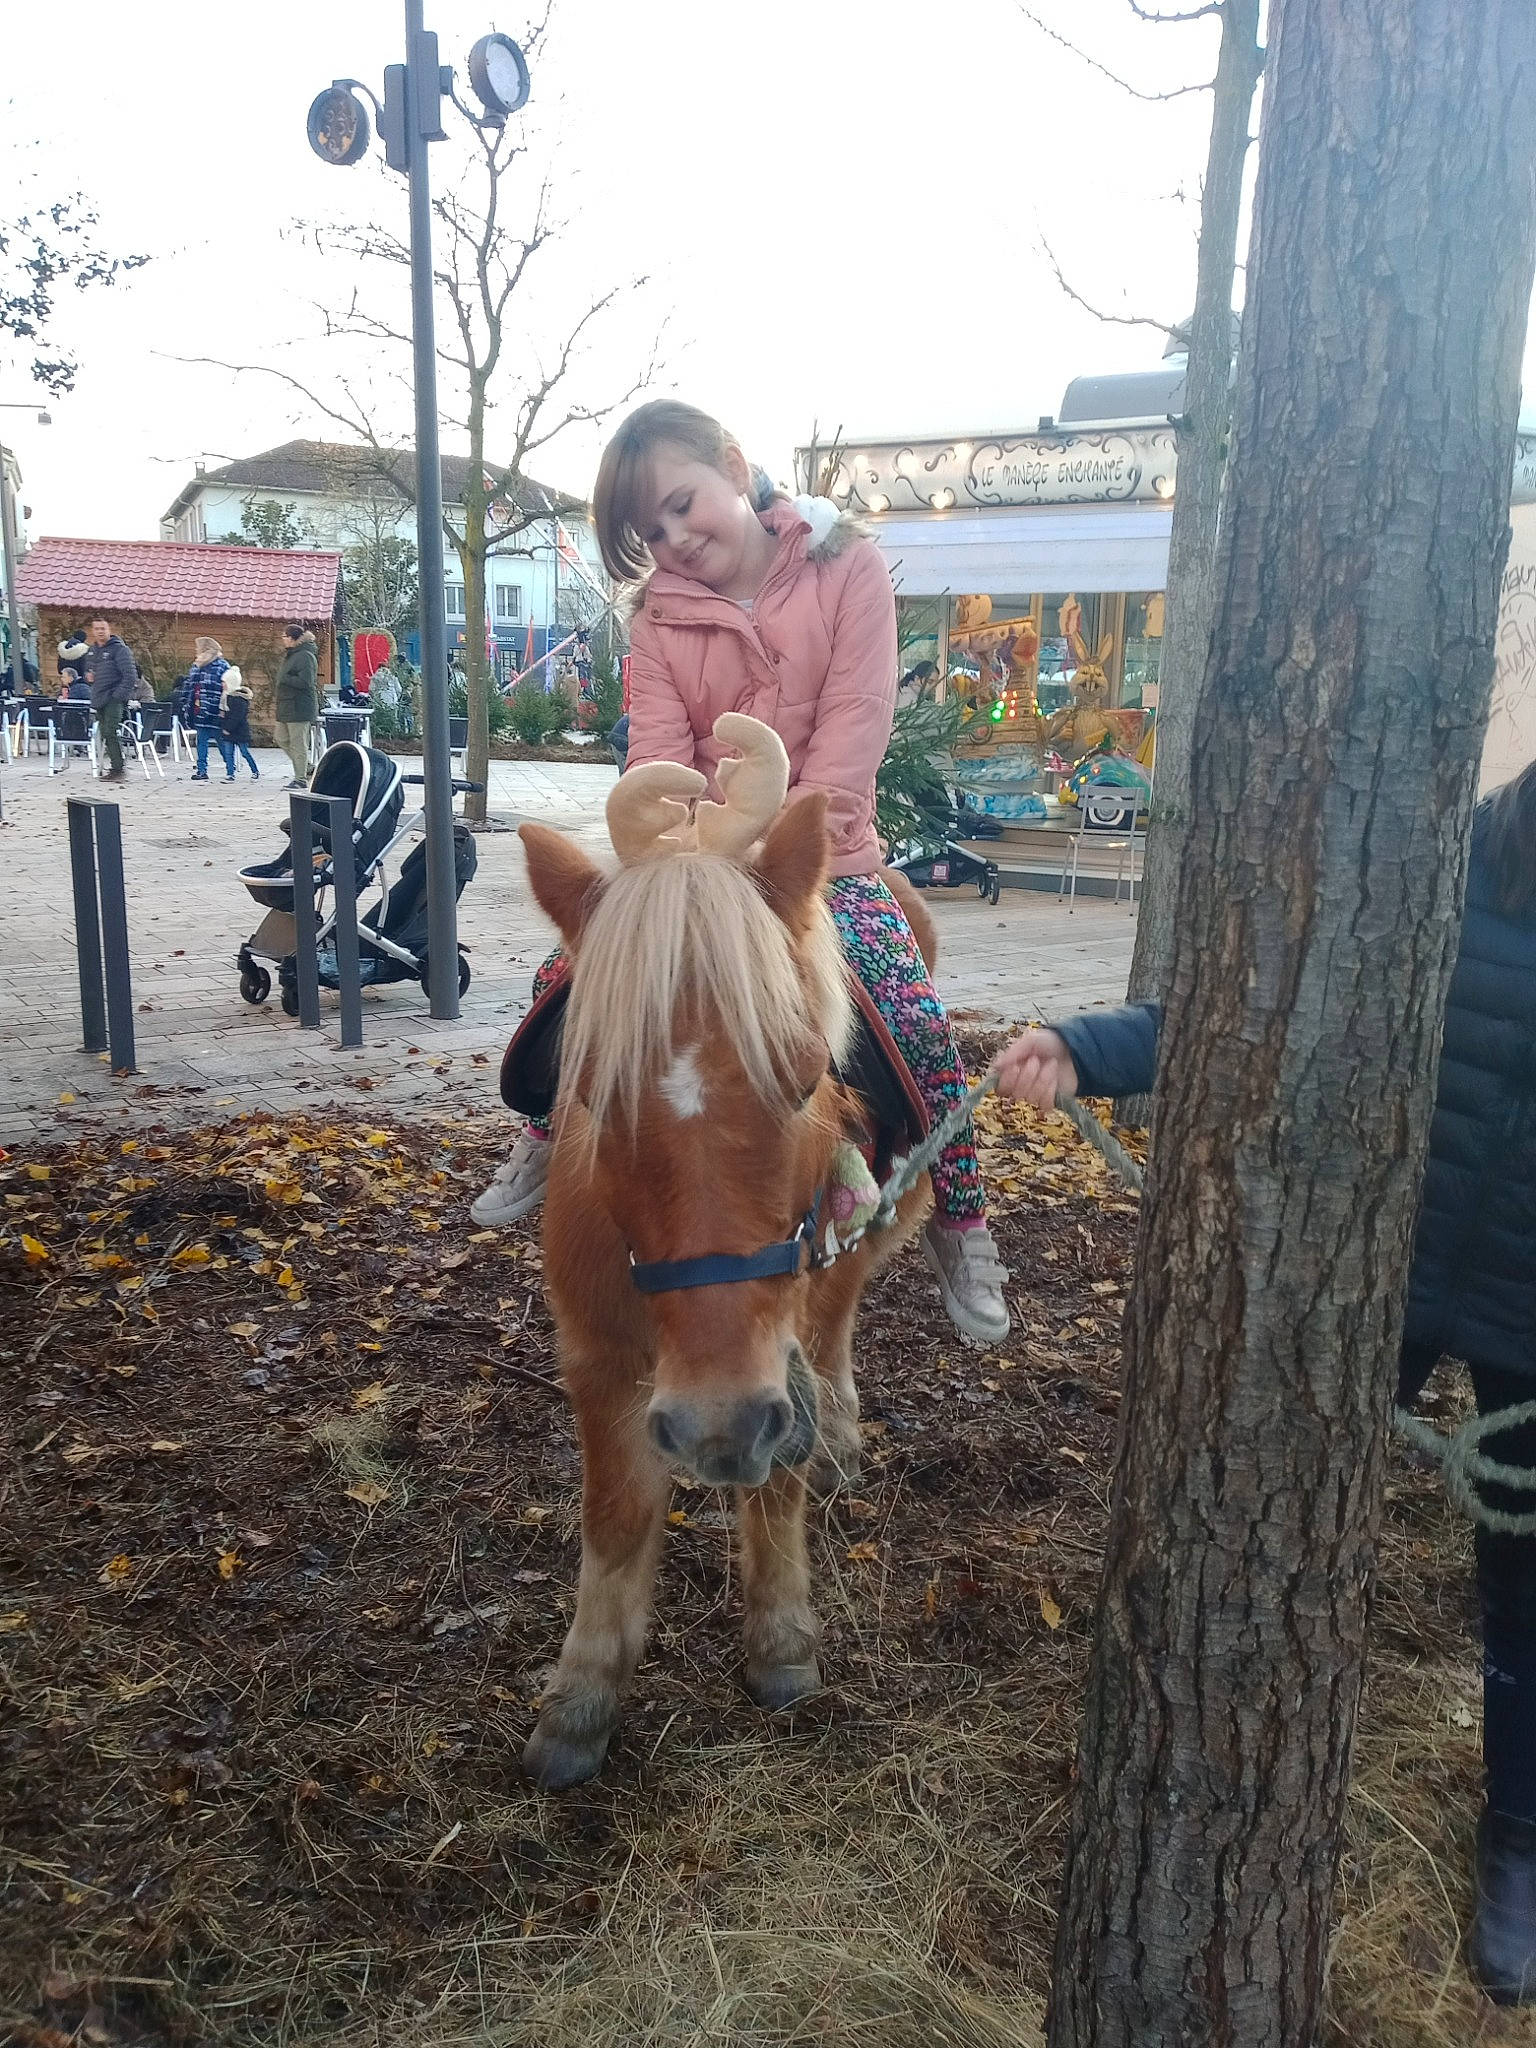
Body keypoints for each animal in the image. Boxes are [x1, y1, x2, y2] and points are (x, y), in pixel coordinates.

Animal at [515, 714, 933, 1788]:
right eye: (592, 1091)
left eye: (806, 1077)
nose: (719, 1427)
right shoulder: (597, 1354)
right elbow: (616, 1514)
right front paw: (581, 1700)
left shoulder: (773, 1350)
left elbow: (778, 1476)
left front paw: (782, 1643)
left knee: (838, 1328)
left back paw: (840, 1436)